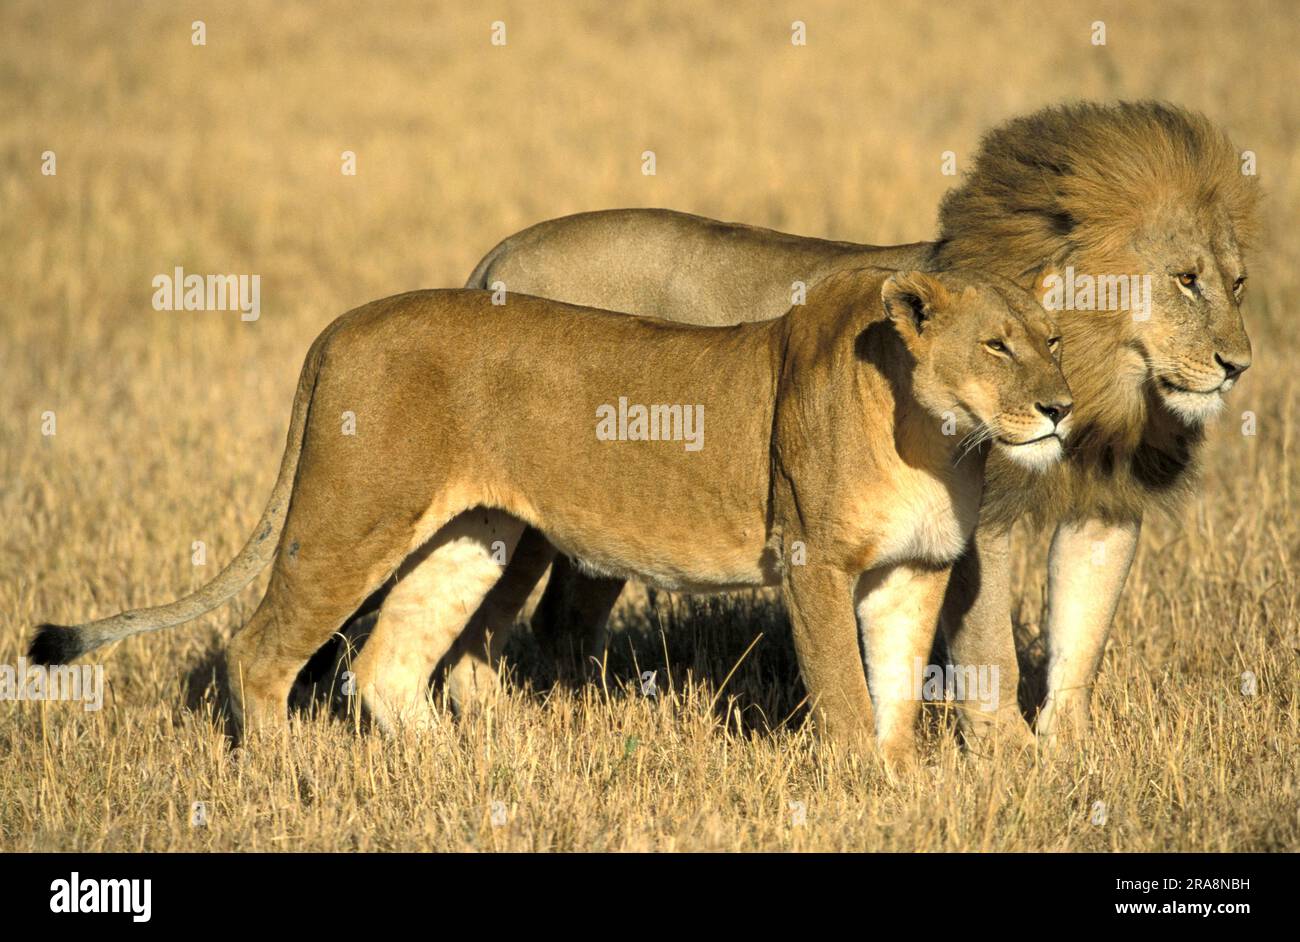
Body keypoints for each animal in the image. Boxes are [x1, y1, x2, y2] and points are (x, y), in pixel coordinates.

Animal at [30, 268, 1071, 761]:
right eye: (997, 345)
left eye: (1054, 341)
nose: (1061, 407)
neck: (940, 439)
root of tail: (339, 326)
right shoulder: (811, 558)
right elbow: (848, 697)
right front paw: (860, 783)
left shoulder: (913, 569)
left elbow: (896, 688)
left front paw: (899, 786)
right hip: (353, 515)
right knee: (259, 652)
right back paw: (294, 780)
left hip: (473, 537)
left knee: (389, 664)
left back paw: (459, 773)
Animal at [354, 100, 1258, 747]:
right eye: (1185, 279)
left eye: (1239, 283)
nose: (1238, 365)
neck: (1112, 396)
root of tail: (500, 258)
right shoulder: (979, 522)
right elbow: (989, 653)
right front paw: (1006, 760)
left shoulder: (1105, 512)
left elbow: (1081, 641)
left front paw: (1068, 760)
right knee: (488, 631)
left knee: (546, 622)